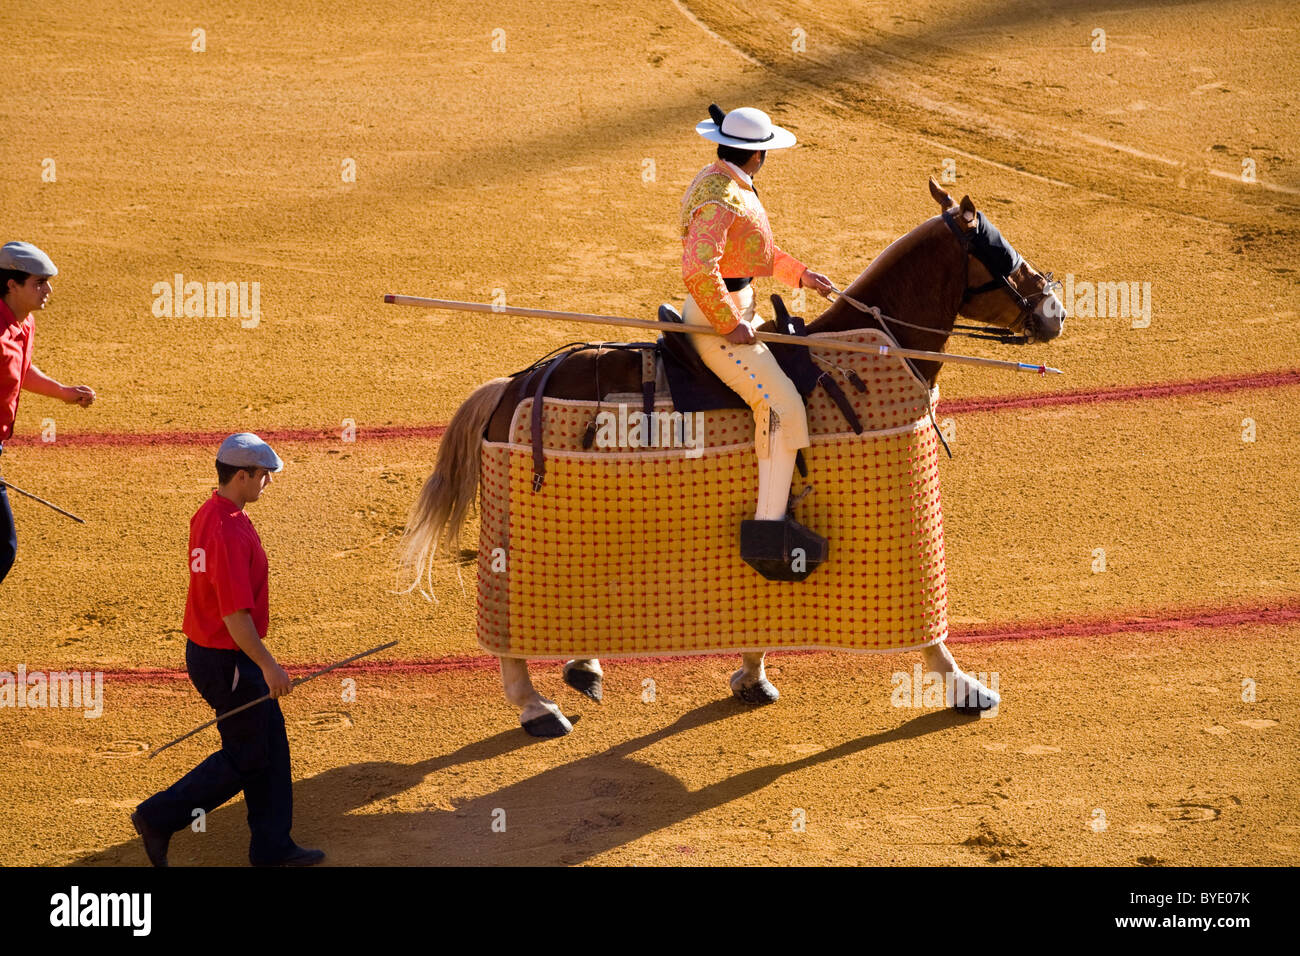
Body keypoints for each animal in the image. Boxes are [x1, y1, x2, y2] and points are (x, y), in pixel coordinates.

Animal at [403, 180, 1066, 738]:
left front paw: (752, 674)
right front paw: (967, 688)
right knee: (507, 627)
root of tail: (514, 384)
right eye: (1000, 248)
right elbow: (930, 633)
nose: (1054, 311)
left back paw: (582, 666)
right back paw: (537, 706)